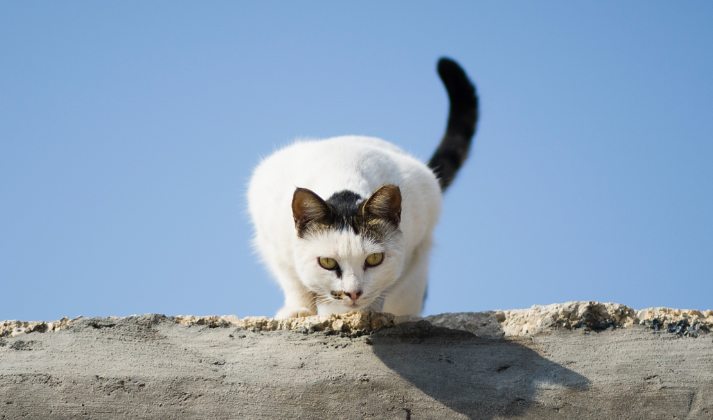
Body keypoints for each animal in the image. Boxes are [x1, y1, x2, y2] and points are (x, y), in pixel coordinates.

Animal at [246, 56, 478, 318]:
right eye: (327, 262)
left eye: (375, 259)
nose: (353, 293)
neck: (342, 173)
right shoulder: (272, 240)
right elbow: (294, 281)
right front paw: (299, 310)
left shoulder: (417, 241)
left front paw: (372, 311)